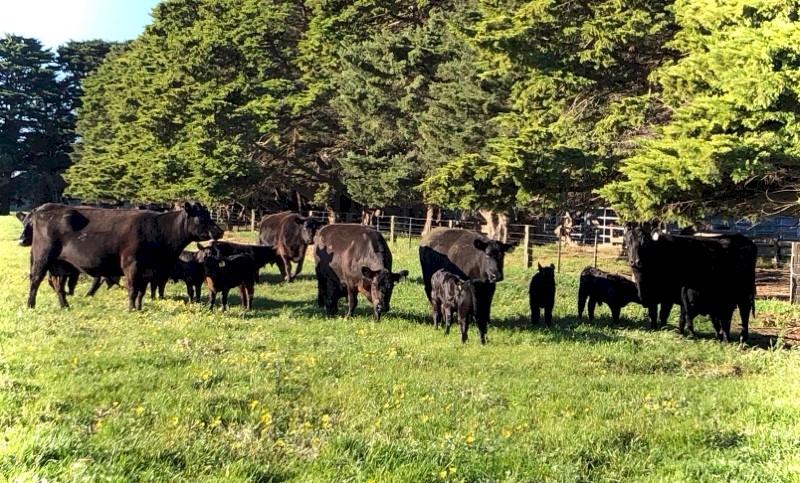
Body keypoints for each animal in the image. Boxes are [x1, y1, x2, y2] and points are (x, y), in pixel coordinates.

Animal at [27, 202, 223, 310]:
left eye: (209, 214)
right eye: (200, 217)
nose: (219, 231)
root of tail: (44, 209)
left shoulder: (148, 271)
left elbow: (141, 292)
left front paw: (139, 308)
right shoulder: (132, 266)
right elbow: (133, 290)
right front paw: (131, 309)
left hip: (60, 264)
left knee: (58, 284)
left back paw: (65, 306)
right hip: (42, 258)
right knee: (35, 281)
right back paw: (30, 305)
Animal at [624, 223, 757, 342]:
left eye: (645, 244)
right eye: (628, 243)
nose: (635, 261)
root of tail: (745, 240)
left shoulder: (668, 296)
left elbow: (663, 314)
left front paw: (666, 330)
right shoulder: (653, 296)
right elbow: (653, 314)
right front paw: (655, 329)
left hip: (743, 292)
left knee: (744, 311)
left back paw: (742, 337)